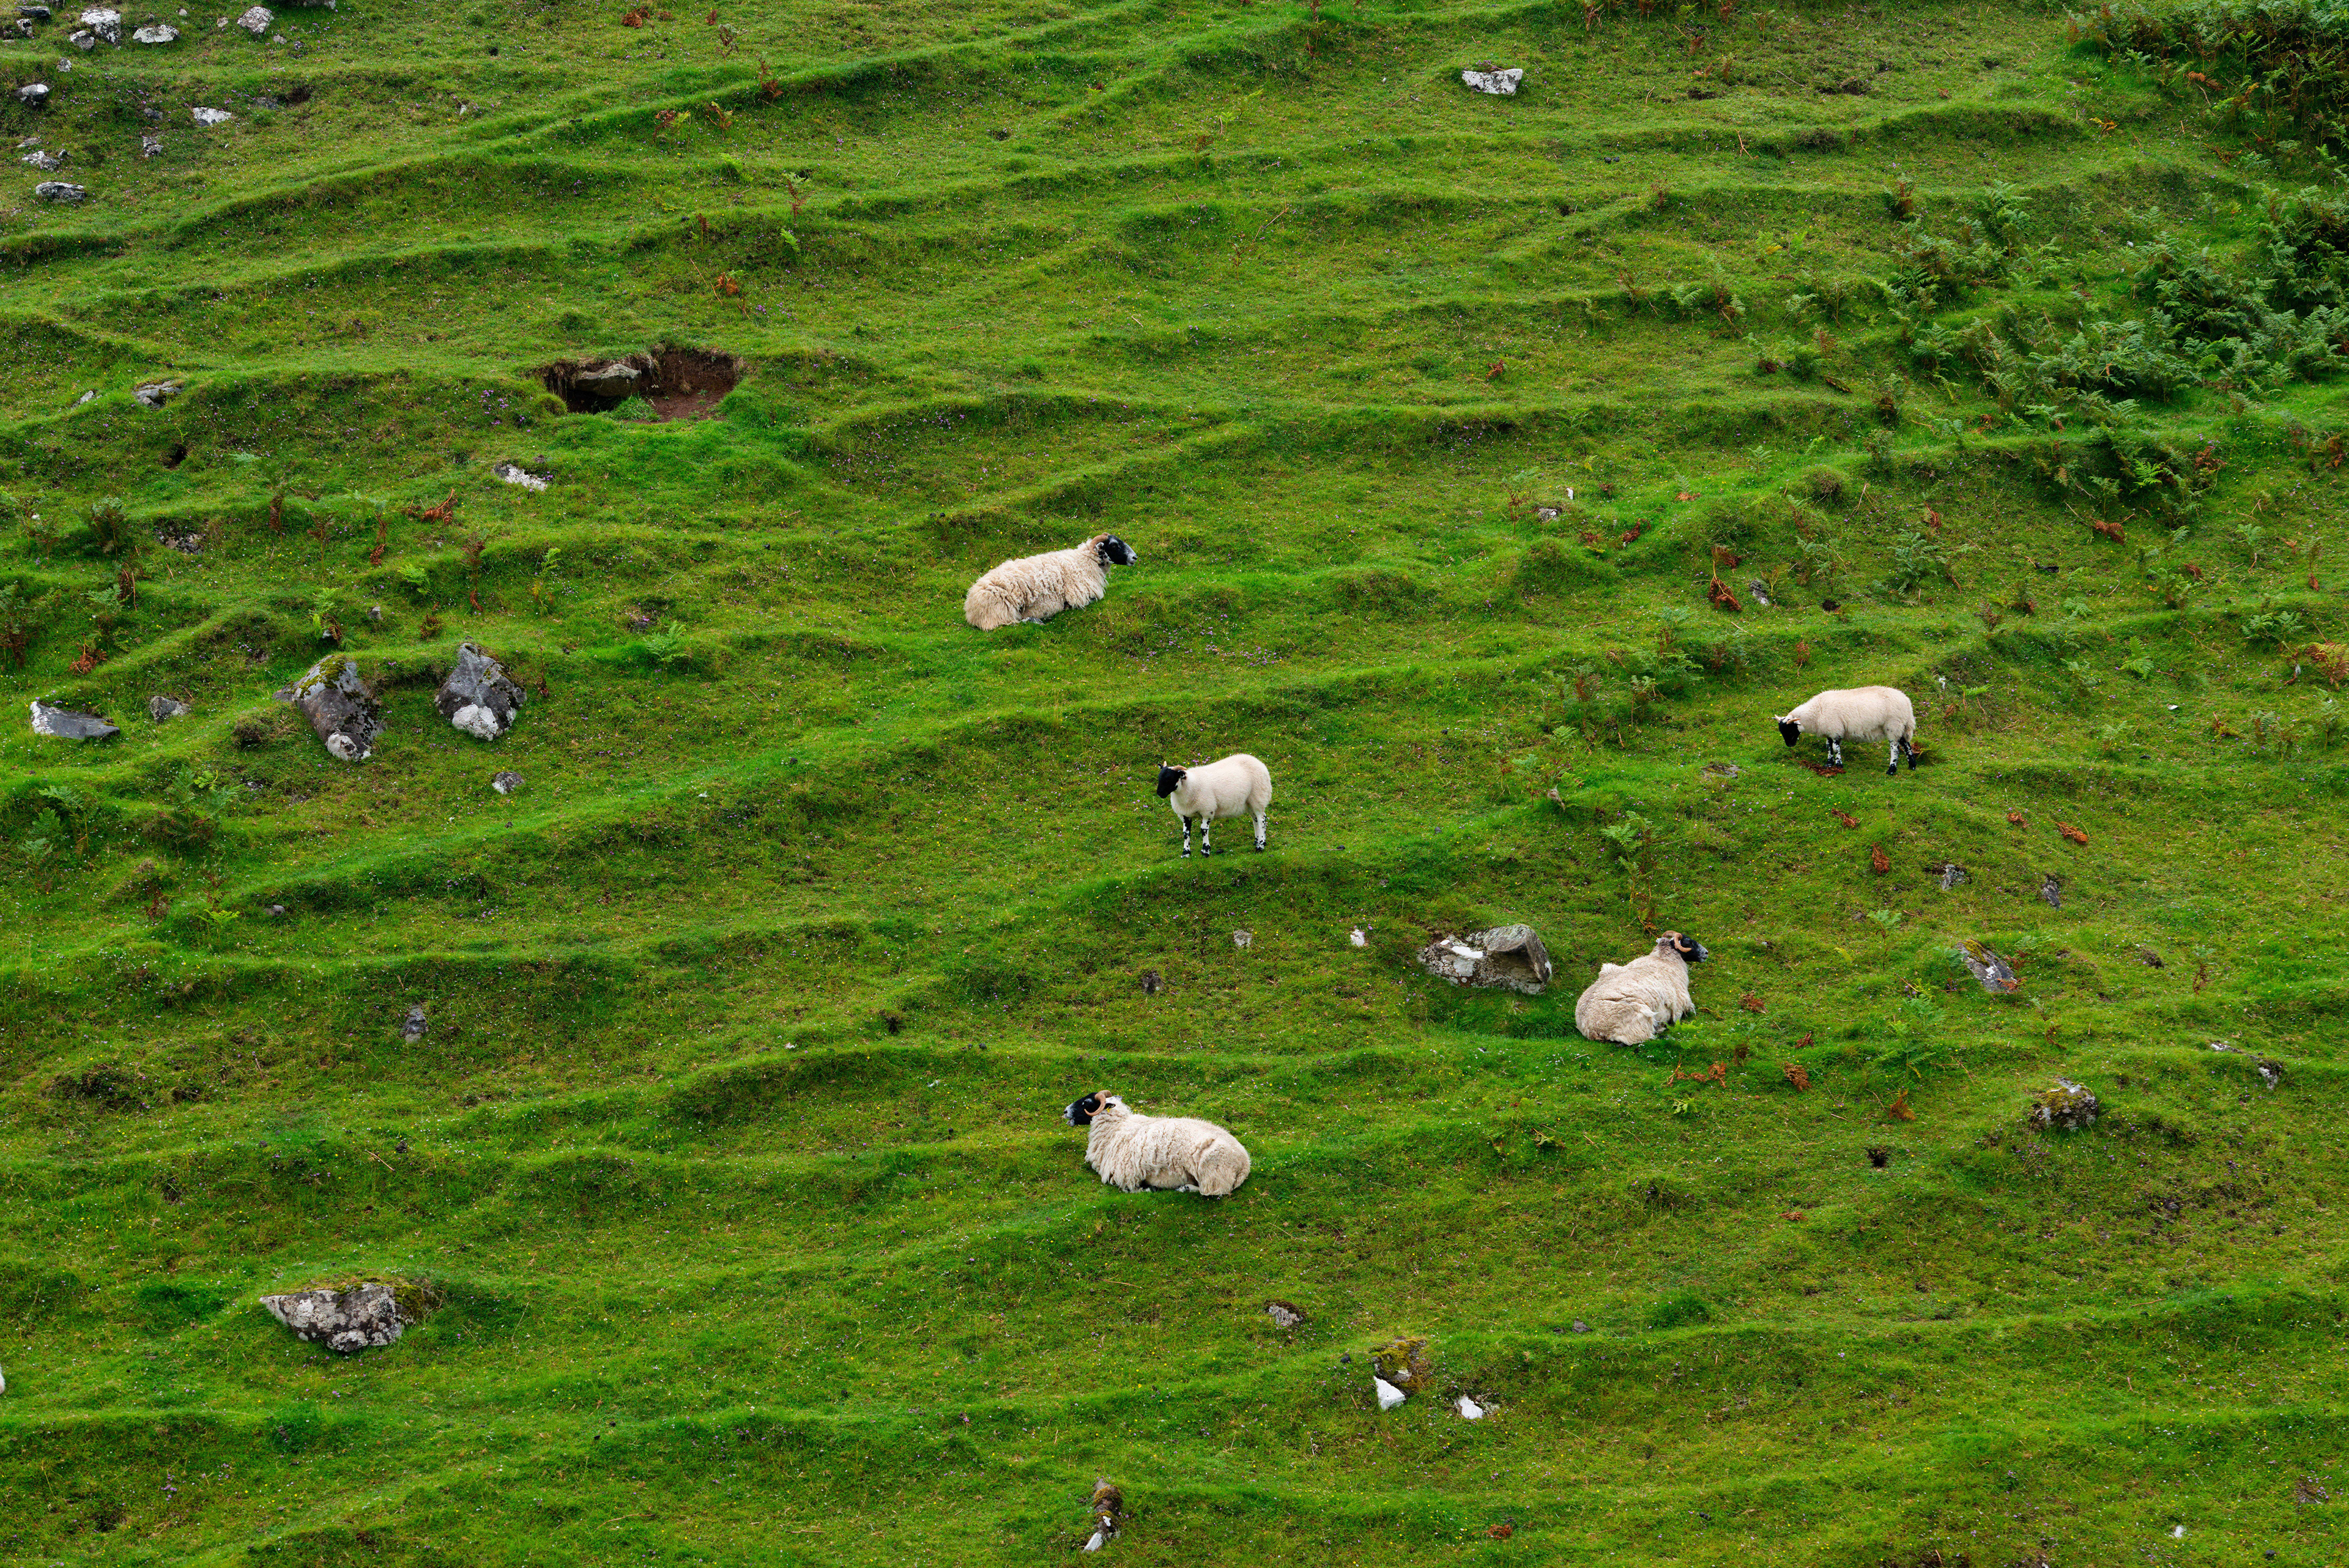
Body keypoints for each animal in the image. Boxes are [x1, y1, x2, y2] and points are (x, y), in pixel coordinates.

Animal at [963, 533, 1138, 630]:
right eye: (1114, 545)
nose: (1135, 557)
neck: (1085, 561)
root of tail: (970, 606)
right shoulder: (1080, 596)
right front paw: (1066, 608)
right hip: (1000, 611)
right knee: (1006, 624)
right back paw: (1035, 621)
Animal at [1061, 1091, 1251, 1197]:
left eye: (1087, 1102)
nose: (1065, 1111)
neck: (1118, 1128)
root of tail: (1245, 1164)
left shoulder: (1126, 1174)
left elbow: (1130, 1189)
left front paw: (1149, 1190)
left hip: (1213, 1173)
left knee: (1213, 1192)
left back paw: (1185, 1189)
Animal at [1154, 753, 1272, 856]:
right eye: (1159, 777)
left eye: (1170, 778)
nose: (1159, 793)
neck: (1190, 787)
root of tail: (1258, 762)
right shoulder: (1185, 814)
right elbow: (1186, 833)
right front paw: (1186, 853)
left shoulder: (1207, 810)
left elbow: (1204, 830)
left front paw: (1205, 851)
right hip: (1249, 802)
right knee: (1256, 819)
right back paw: (1258, 841)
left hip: (1258, 796)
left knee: (1261, 819)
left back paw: (1260, 845)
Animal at [1573, 931, 1709, 1045]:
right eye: (1688, 942)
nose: (1706, 953)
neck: (1665, 959)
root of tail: (1592, 1031)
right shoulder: (1681, 1002)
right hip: (1638, 1020)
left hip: (1608, 969)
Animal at [1774, 685, 1917, 775]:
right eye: (1782, 731)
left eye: (1790, 730)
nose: (1790, 745)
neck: (1817, 712)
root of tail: (1907, 703)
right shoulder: (1830, 730)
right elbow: (1829, 746)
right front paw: (1829, 764)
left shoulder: (1835, 729)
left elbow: (1835, 747)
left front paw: (1838, 766)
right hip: (1901, 727)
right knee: (1906, 745)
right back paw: (1912, 766)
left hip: (1893, 725)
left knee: (1895, 748)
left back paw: (1891, 770)